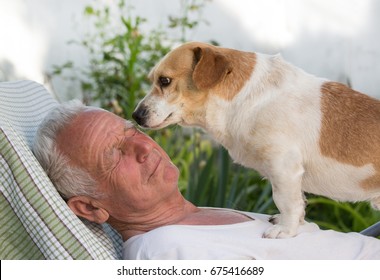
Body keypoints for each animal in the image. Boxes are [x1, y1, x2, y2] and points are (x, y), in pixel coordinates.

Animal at [131, 41, 380, 238]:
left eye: (165, 81)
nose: (135, 115)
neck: (247, 98)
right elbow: (298, 203)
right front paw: (295, 225)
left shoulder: (284, 168)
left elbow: (286, 201)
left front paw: (286, 230)